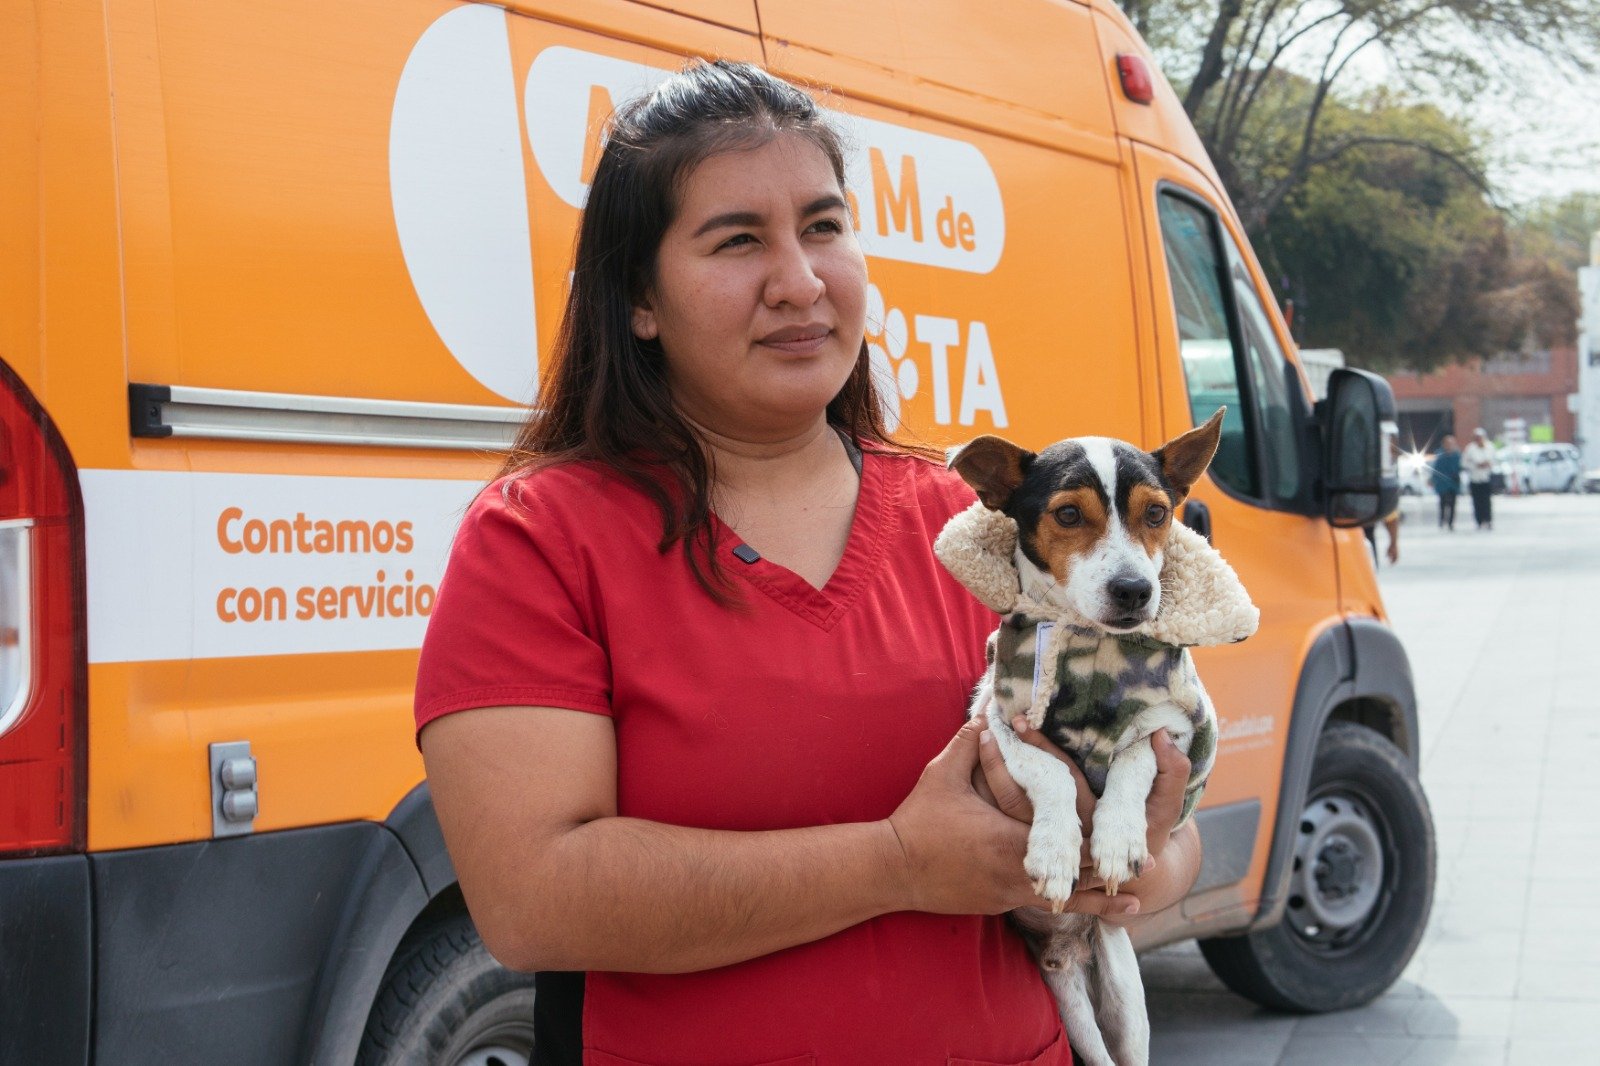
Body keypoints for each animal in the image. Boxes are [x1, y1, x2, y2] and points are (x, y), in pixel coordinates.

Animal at [933, 410, 1257, 1066]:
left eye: (1156, 514)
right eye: (1067, 515)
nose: (1135, 589)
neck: (1090, 644)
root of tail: (1068, 948)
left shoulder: (1175, 728)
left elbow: (1134, 757)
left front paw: (1115, 838)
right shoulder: (998, 724)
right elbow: (1053, 770)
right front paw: (1056, 850)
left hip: (1125, 1003)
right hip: (1072, 1005)